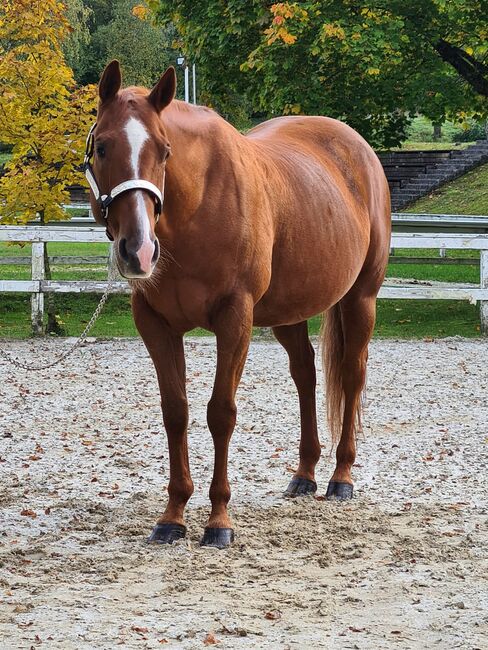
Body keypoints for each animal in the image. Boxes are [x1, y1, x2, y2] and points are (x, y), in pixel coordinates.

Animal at [86, 62, 390, 548]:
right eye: (101, 146)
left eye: (165, 151)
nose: (139, 251)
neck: (194, 210)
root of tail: (358, 148)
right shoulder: (155, 325)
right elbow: (176, 412)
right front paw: (173, 517)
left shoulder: (235, 320)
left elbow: (221, 413)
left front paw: (218, 520)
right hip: (289, 312)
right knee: (305, 374)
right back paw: (305, 474)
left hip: (361, 299)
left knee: (351, 375)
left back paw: (341, 477)